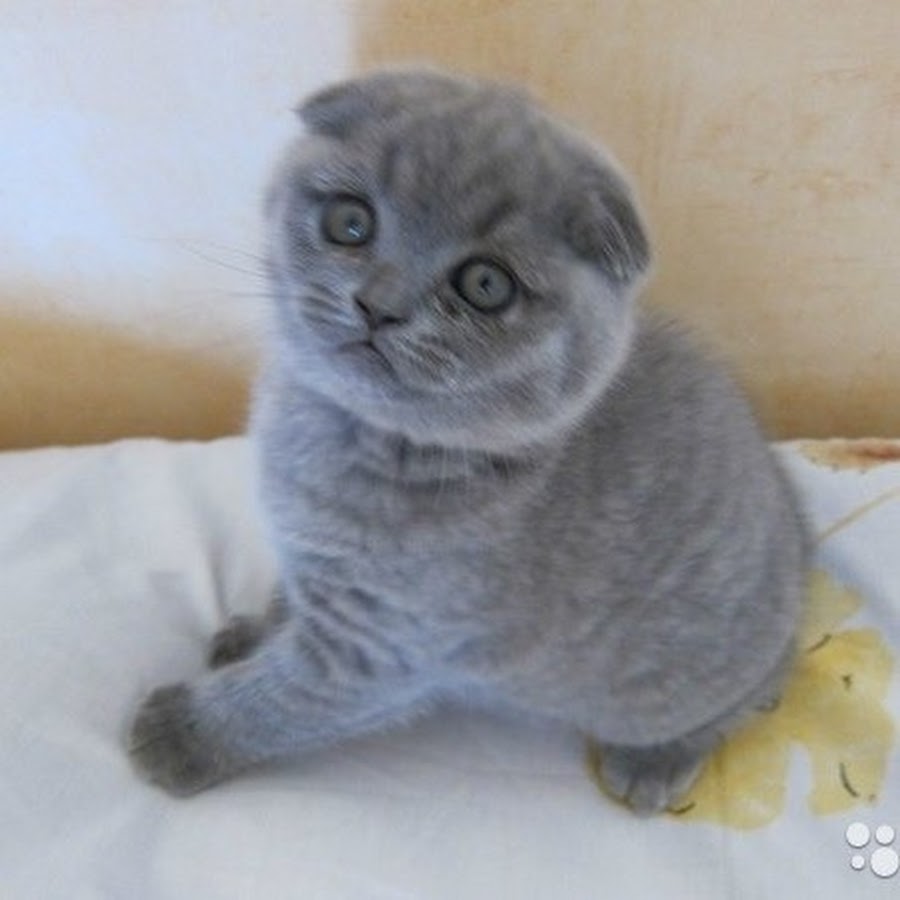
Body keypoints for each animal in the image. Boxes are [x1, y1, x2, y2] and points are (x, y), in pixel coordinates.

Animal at [128, 68, 808, 814]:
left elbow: (277, 701)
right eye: (350, 222)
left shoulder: (379, 650)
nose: (378, 305)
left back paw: (655, 762)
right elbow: (290, 606)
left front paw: (179, 735)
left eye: (485, 284)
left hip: (689, 682)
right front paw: (251, 633)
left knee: (755, 693)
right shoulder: (320, 573)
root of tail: (797, 544)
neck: (348, 433)